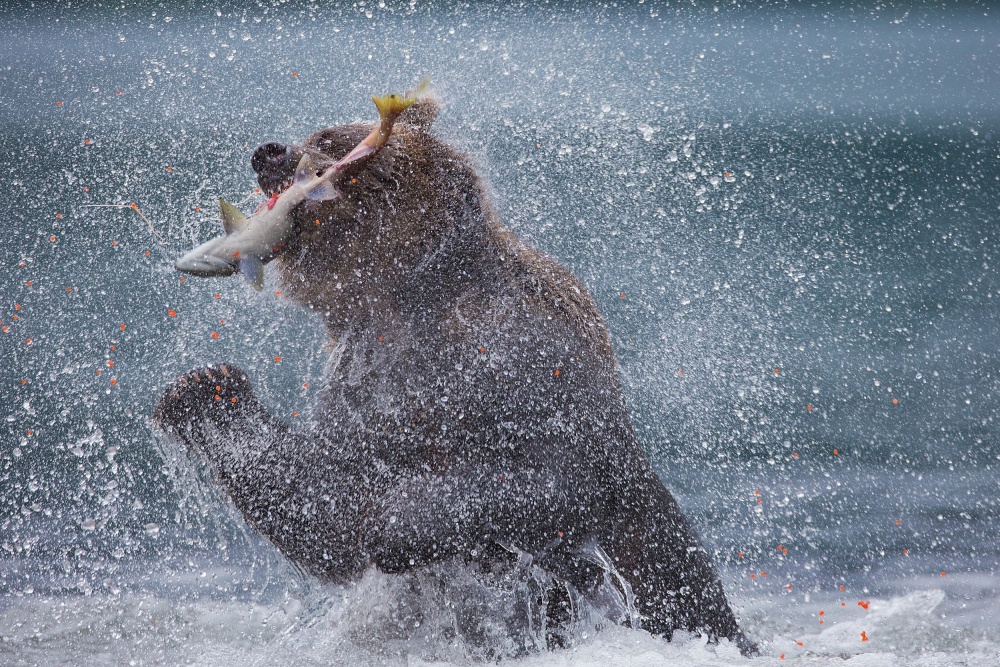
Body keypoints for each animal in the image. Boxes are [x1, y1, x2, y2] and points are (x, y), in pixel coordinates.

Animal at [154, 92, 752, 656]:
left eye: (329, 137)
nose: (267, 151)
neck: (405, 298)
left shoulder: (518, 353)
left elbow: (551, 476)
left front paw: (398, 524)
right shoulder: (363, 377)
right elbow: (326, 504)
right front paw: (203, 387)